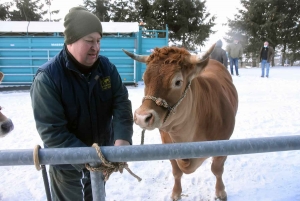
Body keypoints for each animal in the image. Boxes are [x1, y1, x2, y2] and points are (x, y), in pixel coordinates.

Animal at [123, 44, 238, 201]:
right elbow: (176, 171)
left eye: (178, 82)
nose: (141, 117)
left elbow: (217, 169)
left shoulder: (224, 143)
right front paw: (176, 193)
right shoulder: (168, 145)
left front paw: (220, 192)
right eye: (144, 79)